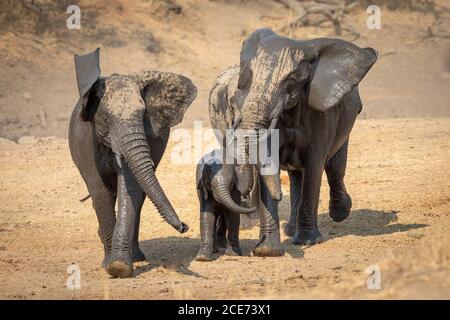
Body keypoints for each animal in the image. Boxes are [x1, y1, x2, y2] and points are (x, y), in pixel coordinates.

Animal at [68, 48, 197, 278]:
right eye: (106, 119)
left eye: (144, 114)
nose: (185, 226)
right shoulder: (84, 138)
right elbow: (99, 191)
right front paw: (111, 265)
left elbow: (130, 189)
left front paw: (119, 266)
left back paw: (136, 256)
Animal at [209, 28, 378, 256]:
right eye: (250, 76)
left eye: (291, 79)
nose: (280, 195)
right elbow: (268, 166)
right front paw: (267, 251)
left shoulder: (322, 112)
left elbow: (315, 165)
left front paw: (307, 241)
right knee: (296, 174)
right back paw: (290, 228)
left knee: (333, 167)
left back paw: (340, 212)